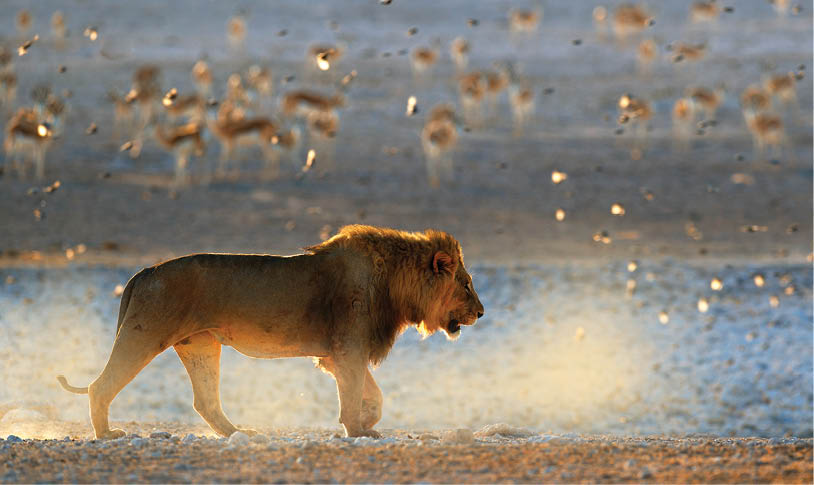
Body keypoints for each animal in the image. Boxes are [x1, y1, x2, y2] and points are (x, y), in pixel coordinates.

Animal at [57, 225, 484, 439]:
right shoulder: (348, 347)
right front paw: (357, 430)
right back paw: (106, 434)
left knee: (205, 402)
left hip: (201, 346)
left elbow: (374, 396)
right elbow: (353, 392)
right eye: (466, 284)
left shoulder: (338, 353)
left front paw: (366, 423)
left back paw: (237, 433)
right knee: (101, 385)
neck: (396, 281)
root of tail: (144, 270)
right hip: (144, 334)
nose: (481, 312)